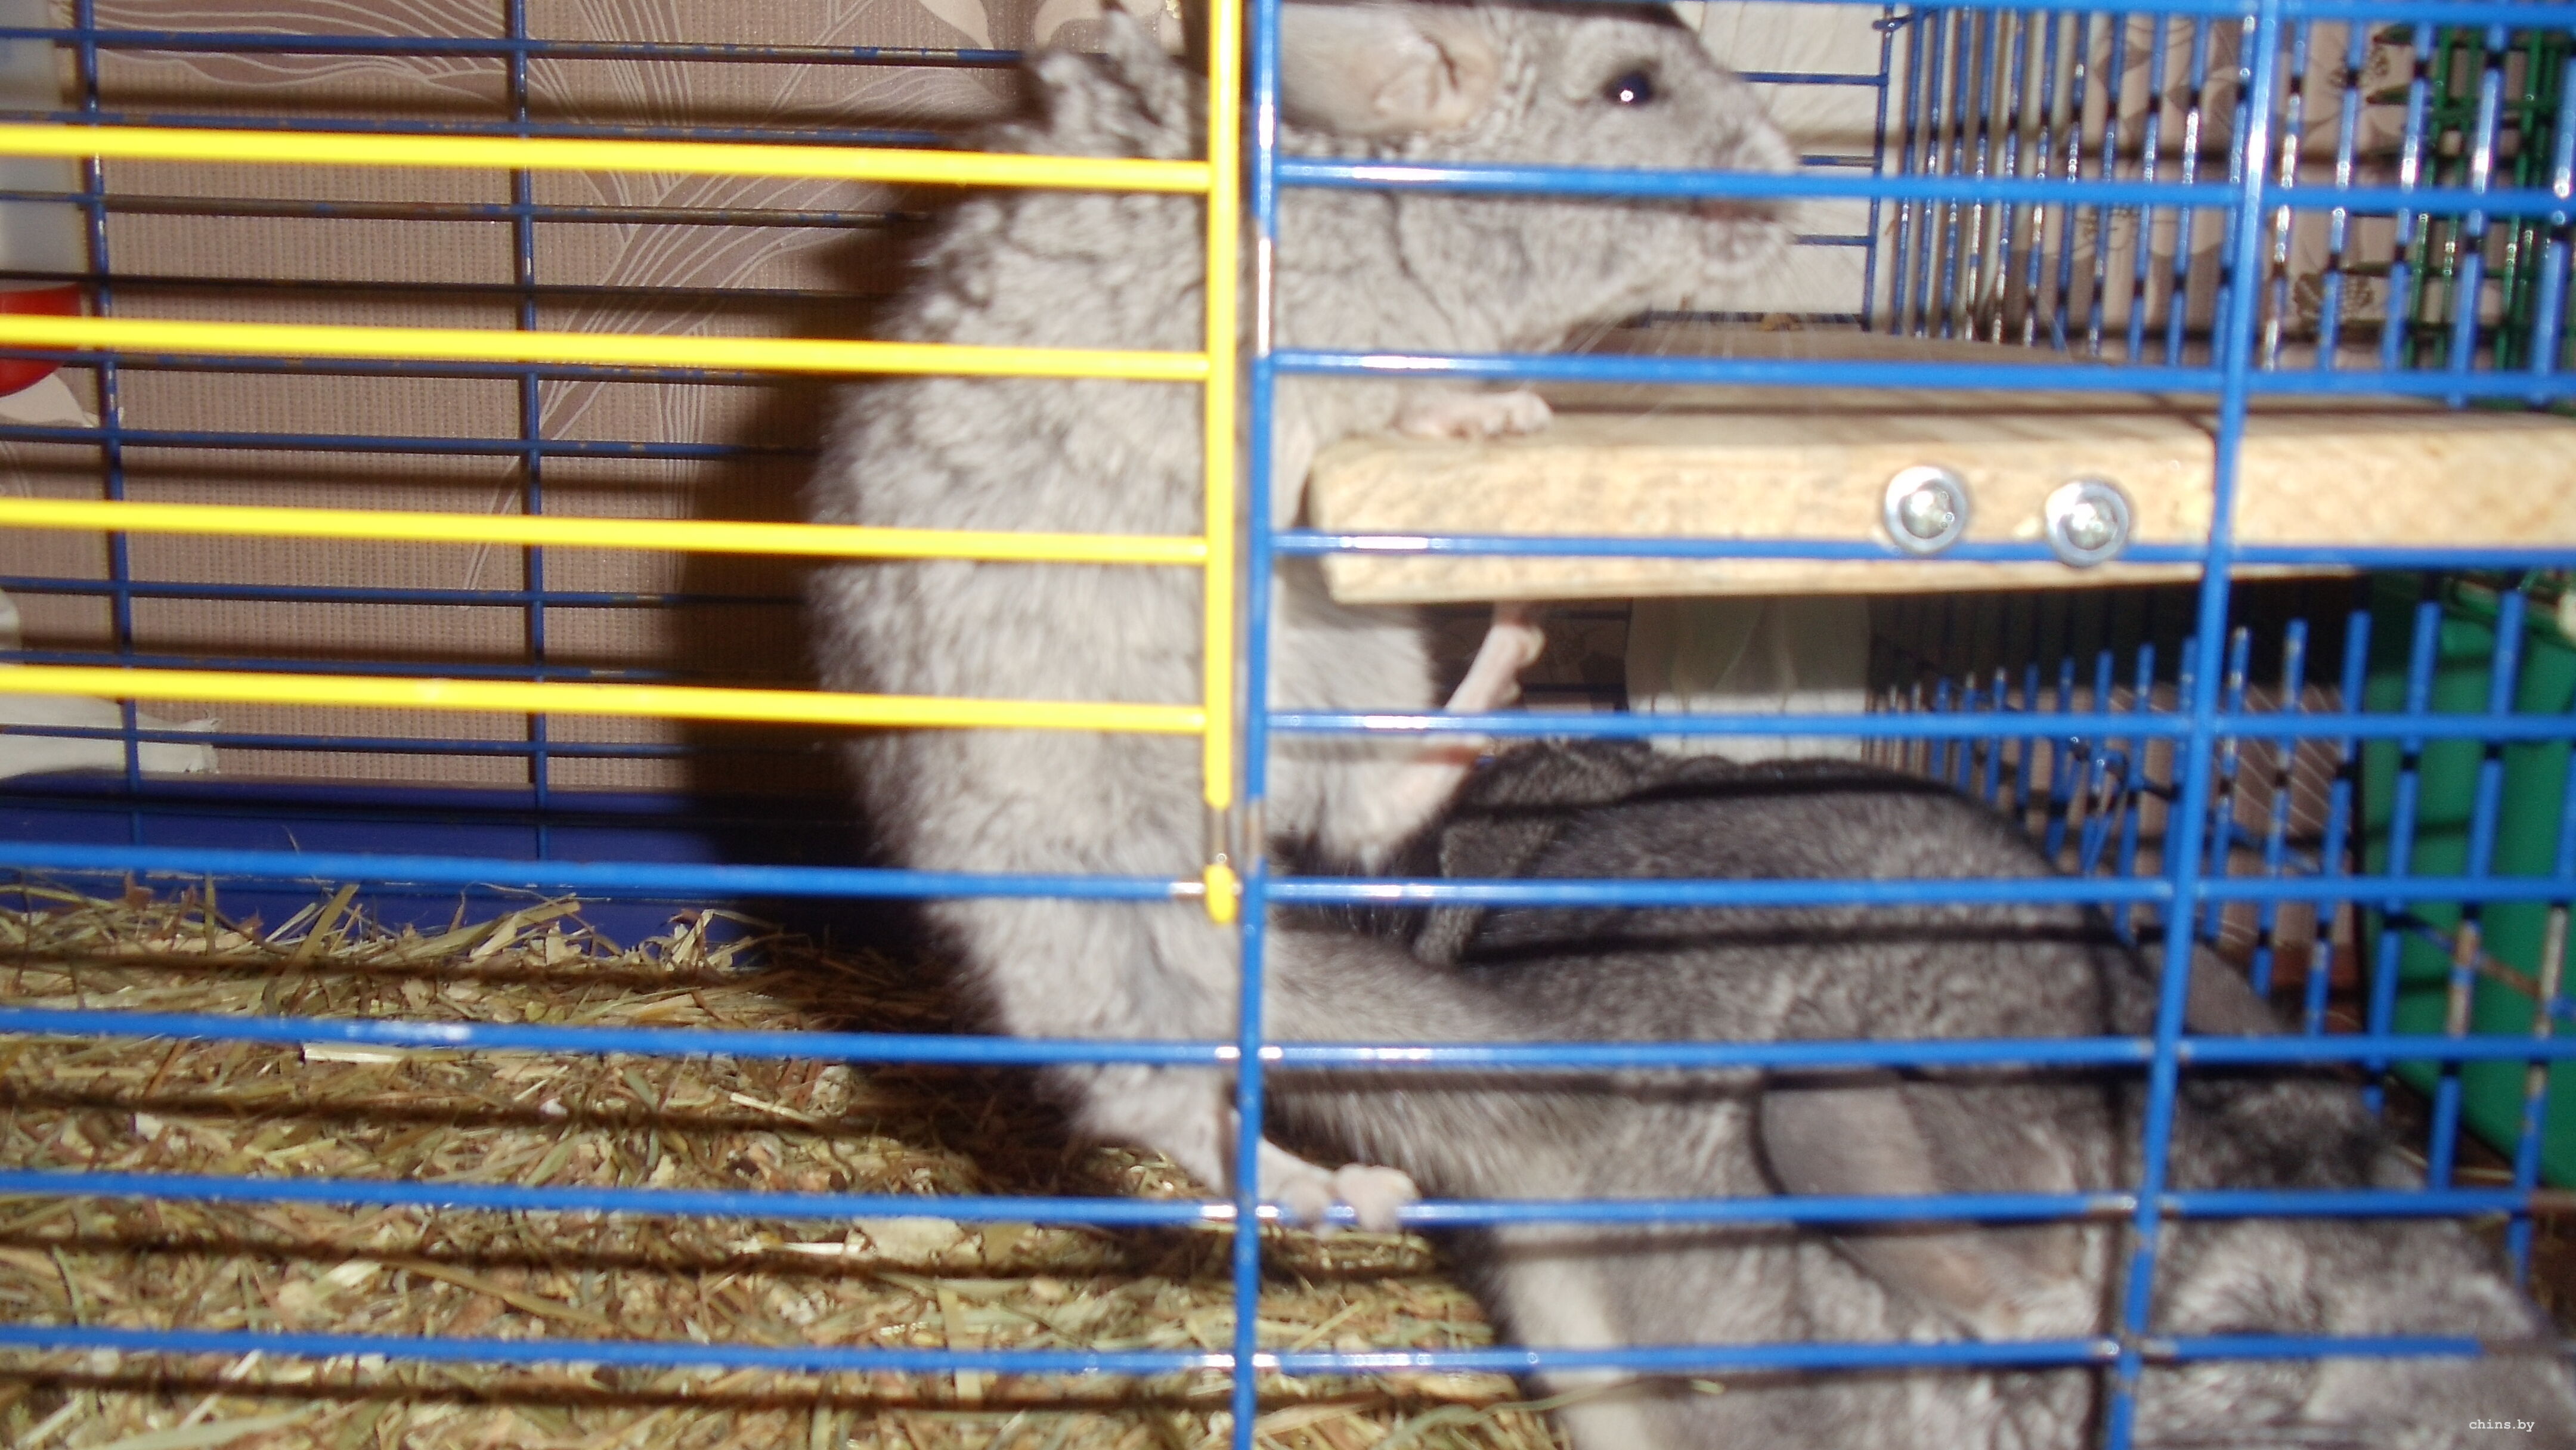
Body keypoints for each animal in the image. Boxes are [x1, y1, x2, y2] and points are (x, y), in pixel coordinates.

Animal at [804, 3, 1792, 1227]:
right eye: (1631, 90)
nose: (1799, 179)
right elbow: (1406, 397)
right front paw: (1500, 412)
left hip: (1337, 649)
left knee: (1367, 809)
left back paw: (1509, 649)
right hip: (1101, 902)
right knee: (1156, 1103)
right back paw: (1332, 1191)